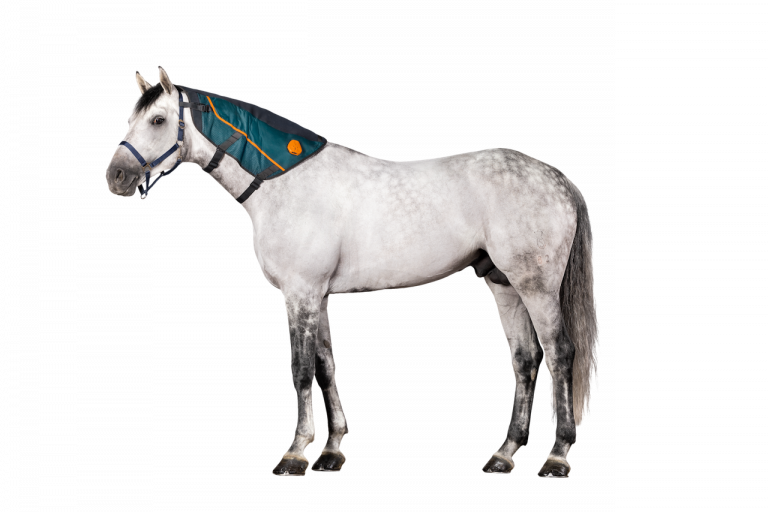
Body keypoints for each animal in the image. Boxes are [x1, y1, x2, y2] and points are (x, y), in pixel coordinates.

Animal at [105, 65, 600, 479]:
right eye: (132, 120)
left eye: (158, 121)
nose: (117, 177)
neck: (285, 184)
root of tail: (556, 178)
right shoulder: (318, 296)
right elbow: (326, 368)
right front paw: (330, 452)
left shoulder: (300, 294)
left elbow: (302, 371)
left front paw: (294, 455)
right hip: (505, 286)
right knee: (526, 360)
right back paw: (504, 455)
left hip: (537, 287)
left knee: (559, 354)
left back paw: (557, 457)